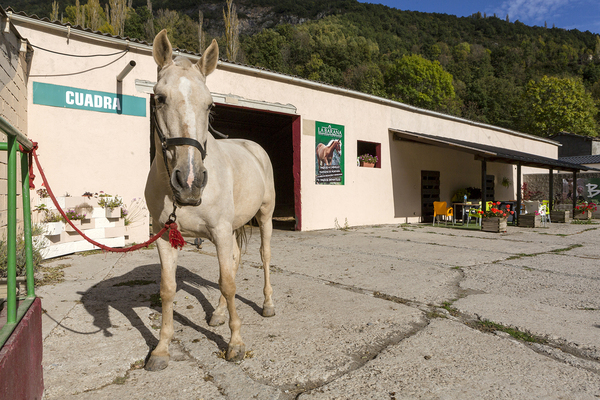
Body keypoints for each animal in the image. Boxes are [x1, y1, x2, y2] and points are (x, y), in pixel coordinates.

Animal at [145, 29, 276, 370]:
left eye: (209, 105)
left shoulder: (219, 230)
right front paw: (161, 349)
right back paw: (217, 313)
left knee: (263, 256)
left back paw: (268, 304)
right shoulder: (164, 236)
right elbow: (168, 289)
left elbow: (229, 284)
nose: (190, 182)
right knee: (234, 260)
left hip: (264, 216)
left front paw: (236, 344)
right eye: (159, 98)